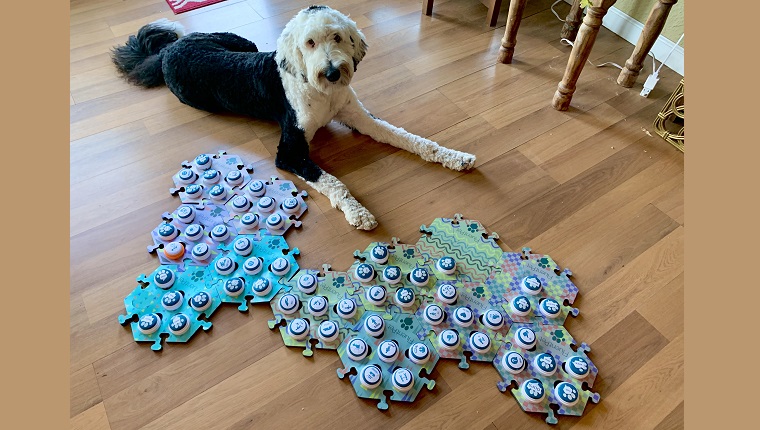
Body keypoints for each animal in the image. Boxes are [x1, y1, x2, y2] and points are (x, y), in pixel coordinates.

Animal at [111, 4, 476, 232]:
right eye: (309, 42)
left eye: (337, 37)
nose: (332, 72)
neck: (322, 93)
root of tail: (166, 51)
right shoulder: (289, 151)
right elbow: (332, 181)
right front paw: (357, 211)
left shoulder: (362, 119)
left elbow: (408, 137)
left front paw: (452, 156)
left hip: (244, 44)